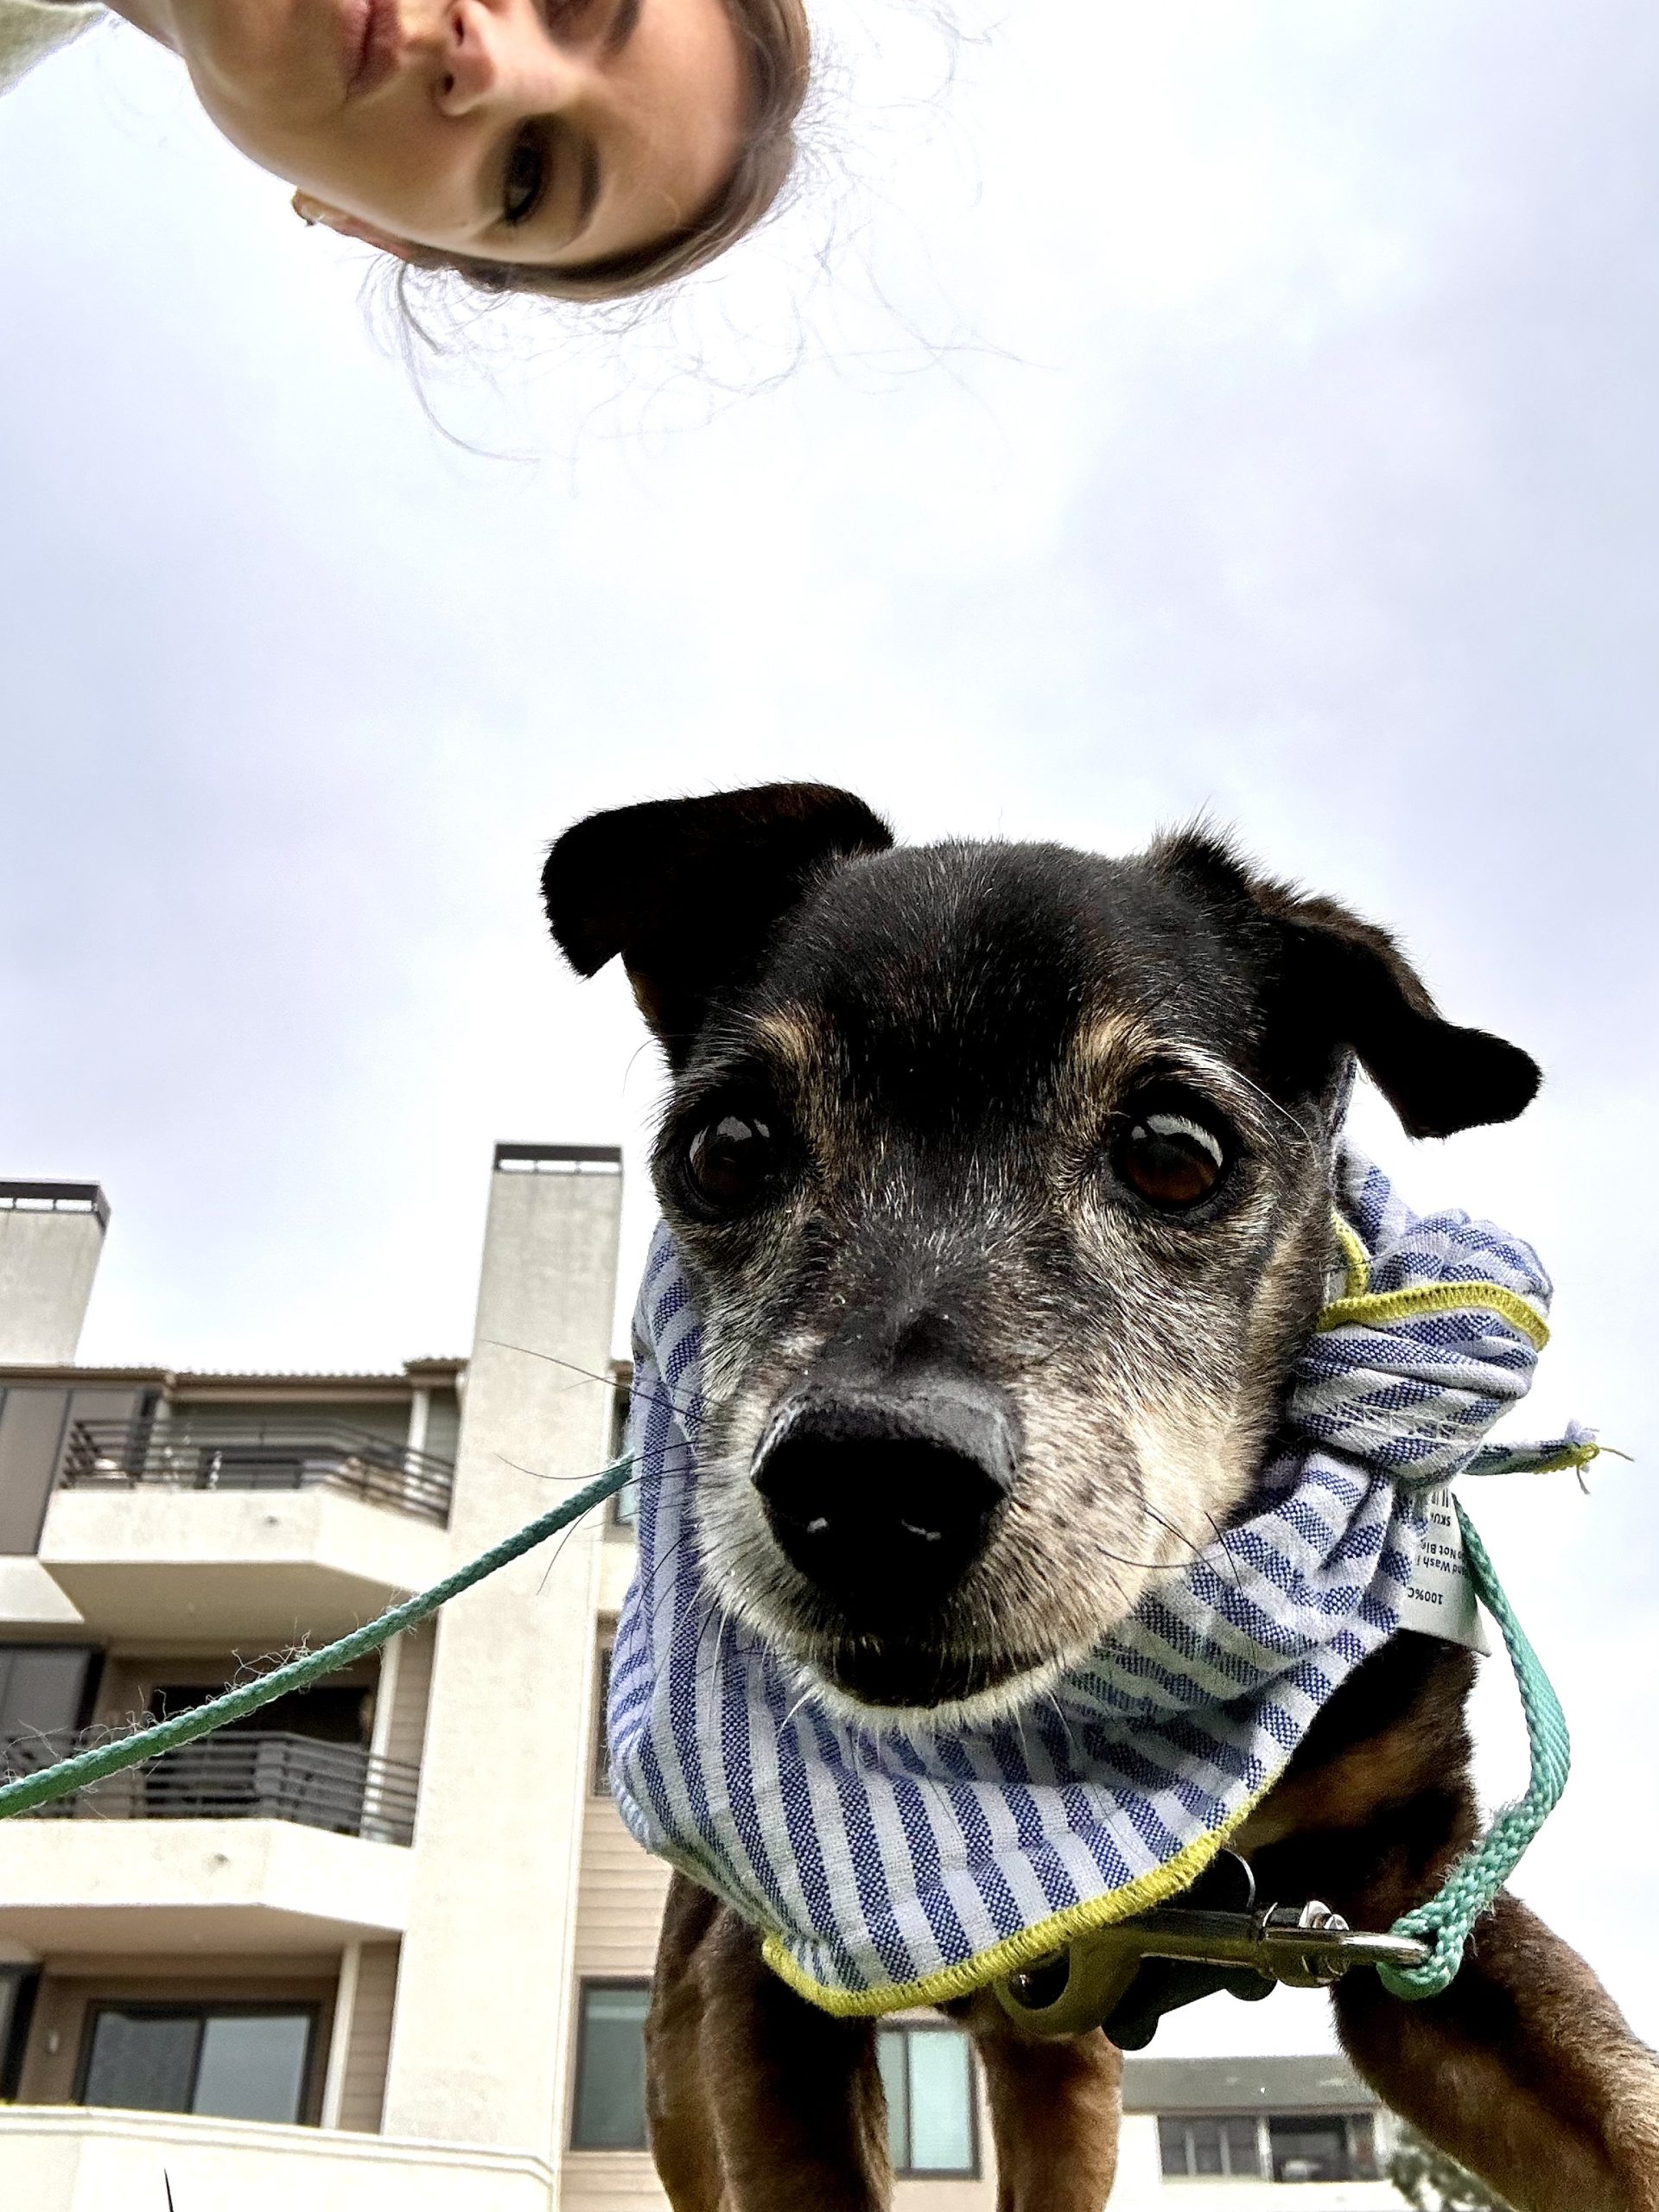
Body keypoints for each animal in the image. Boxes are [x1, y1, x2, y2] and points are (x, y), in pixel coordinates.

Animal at [546, 787, 1659, 2212]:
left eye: (1174, 1154)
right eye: (727, 1150)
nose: (869, 1483)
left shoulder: (1412, 1935)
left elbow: (1627, 2118)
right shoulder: (760, 1991)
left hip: (1064, 2077)